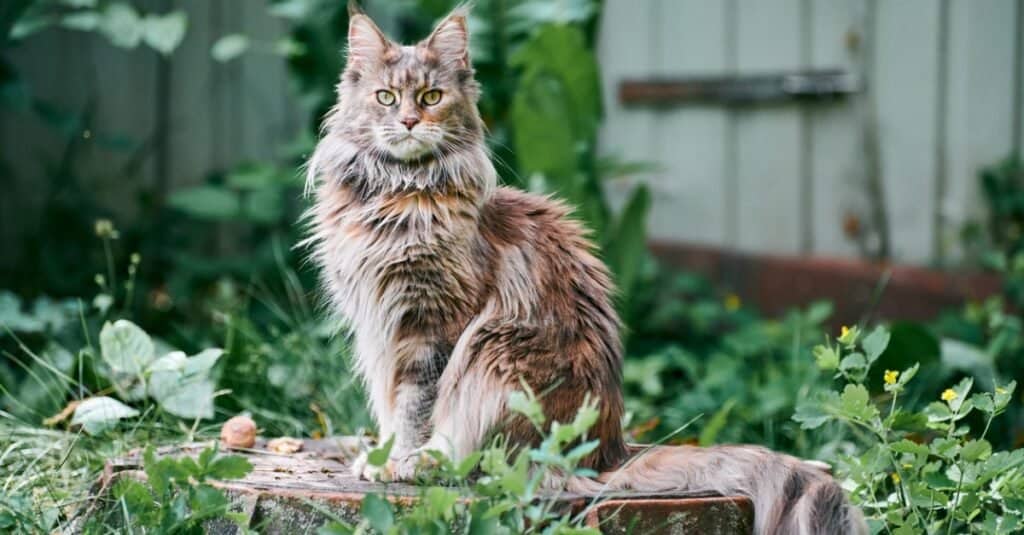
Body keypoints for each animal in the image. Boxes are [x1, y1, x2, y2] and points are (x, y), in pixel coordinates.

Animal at [303, 5, 864, 532]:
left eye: (432, 97)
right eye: (386, 98)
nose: (409, 122)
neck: (396, 194)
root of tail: (608, 454)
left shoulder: (431, 326)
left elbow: (416, 406)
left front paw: (399, 462)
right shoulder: (379, 329)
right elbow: (392, 407)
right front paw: (379, 456)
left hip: (493, 352)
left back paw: (433, 464)